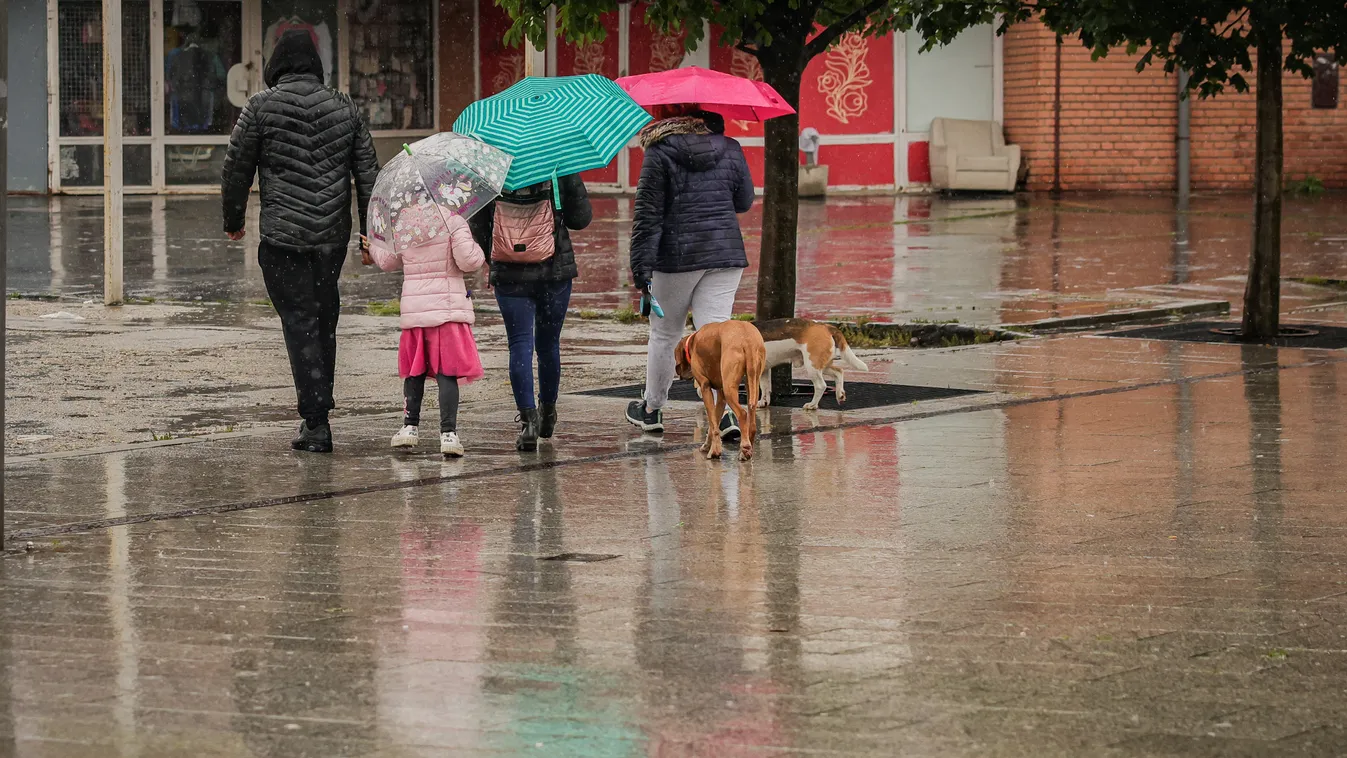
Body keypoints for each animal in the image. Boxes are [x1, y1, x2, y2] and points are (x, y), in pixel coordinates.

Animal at [673, 321, 770, 463]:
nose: (679, 375)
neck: (693, 342)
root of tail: (747, 340)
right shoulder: (721, 394)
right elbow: (714, 422)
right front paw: (708, 446)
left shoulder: (705, 387)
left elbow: (713, 424)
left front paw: (714, 452)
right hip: (752, 383)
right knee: (751, 419)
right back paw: (746, 450)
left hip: (730, 388)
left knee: (742, 414)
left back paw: (744, 447)